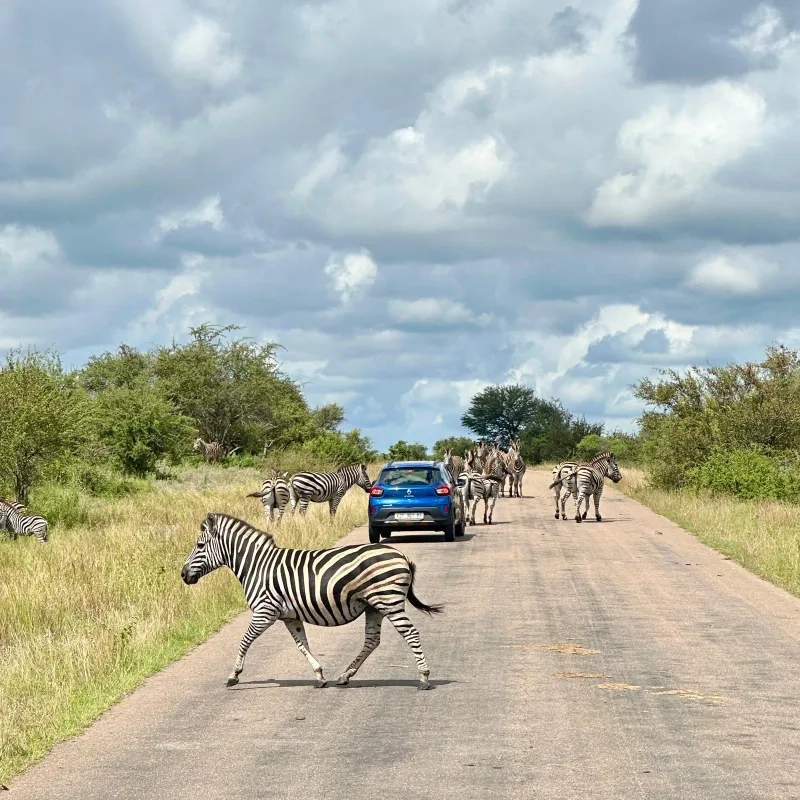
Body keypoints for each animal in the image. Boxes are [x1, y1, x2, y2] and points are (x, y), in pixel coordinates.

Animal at [180, 513, 442, 689]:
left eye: (200, 545)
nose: (183, 575)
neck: (257, 565)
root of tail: (402, 556)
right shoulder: (289, 616)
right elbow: (302, 644)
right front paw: (319, 676)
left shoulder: (265, 611)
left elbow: (245, 641)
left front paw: (234, 675)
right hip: (374, 606)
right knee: (372, 641)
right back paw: (344, 676)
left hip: (389, 601)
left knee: (411, 634)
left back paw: (424, 677)